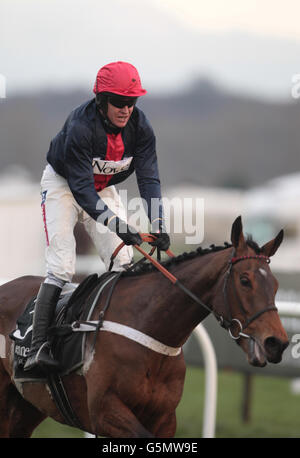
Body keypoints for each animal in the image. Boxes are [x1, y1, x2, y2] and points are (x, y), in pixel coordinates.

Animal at [0, 216, 288, 438]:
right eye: (245, 280)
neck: (151, 329)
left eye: (275, 284)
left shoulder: (165, 418)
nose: (277, 343)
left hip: (25, 408)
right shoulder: (105, 411)